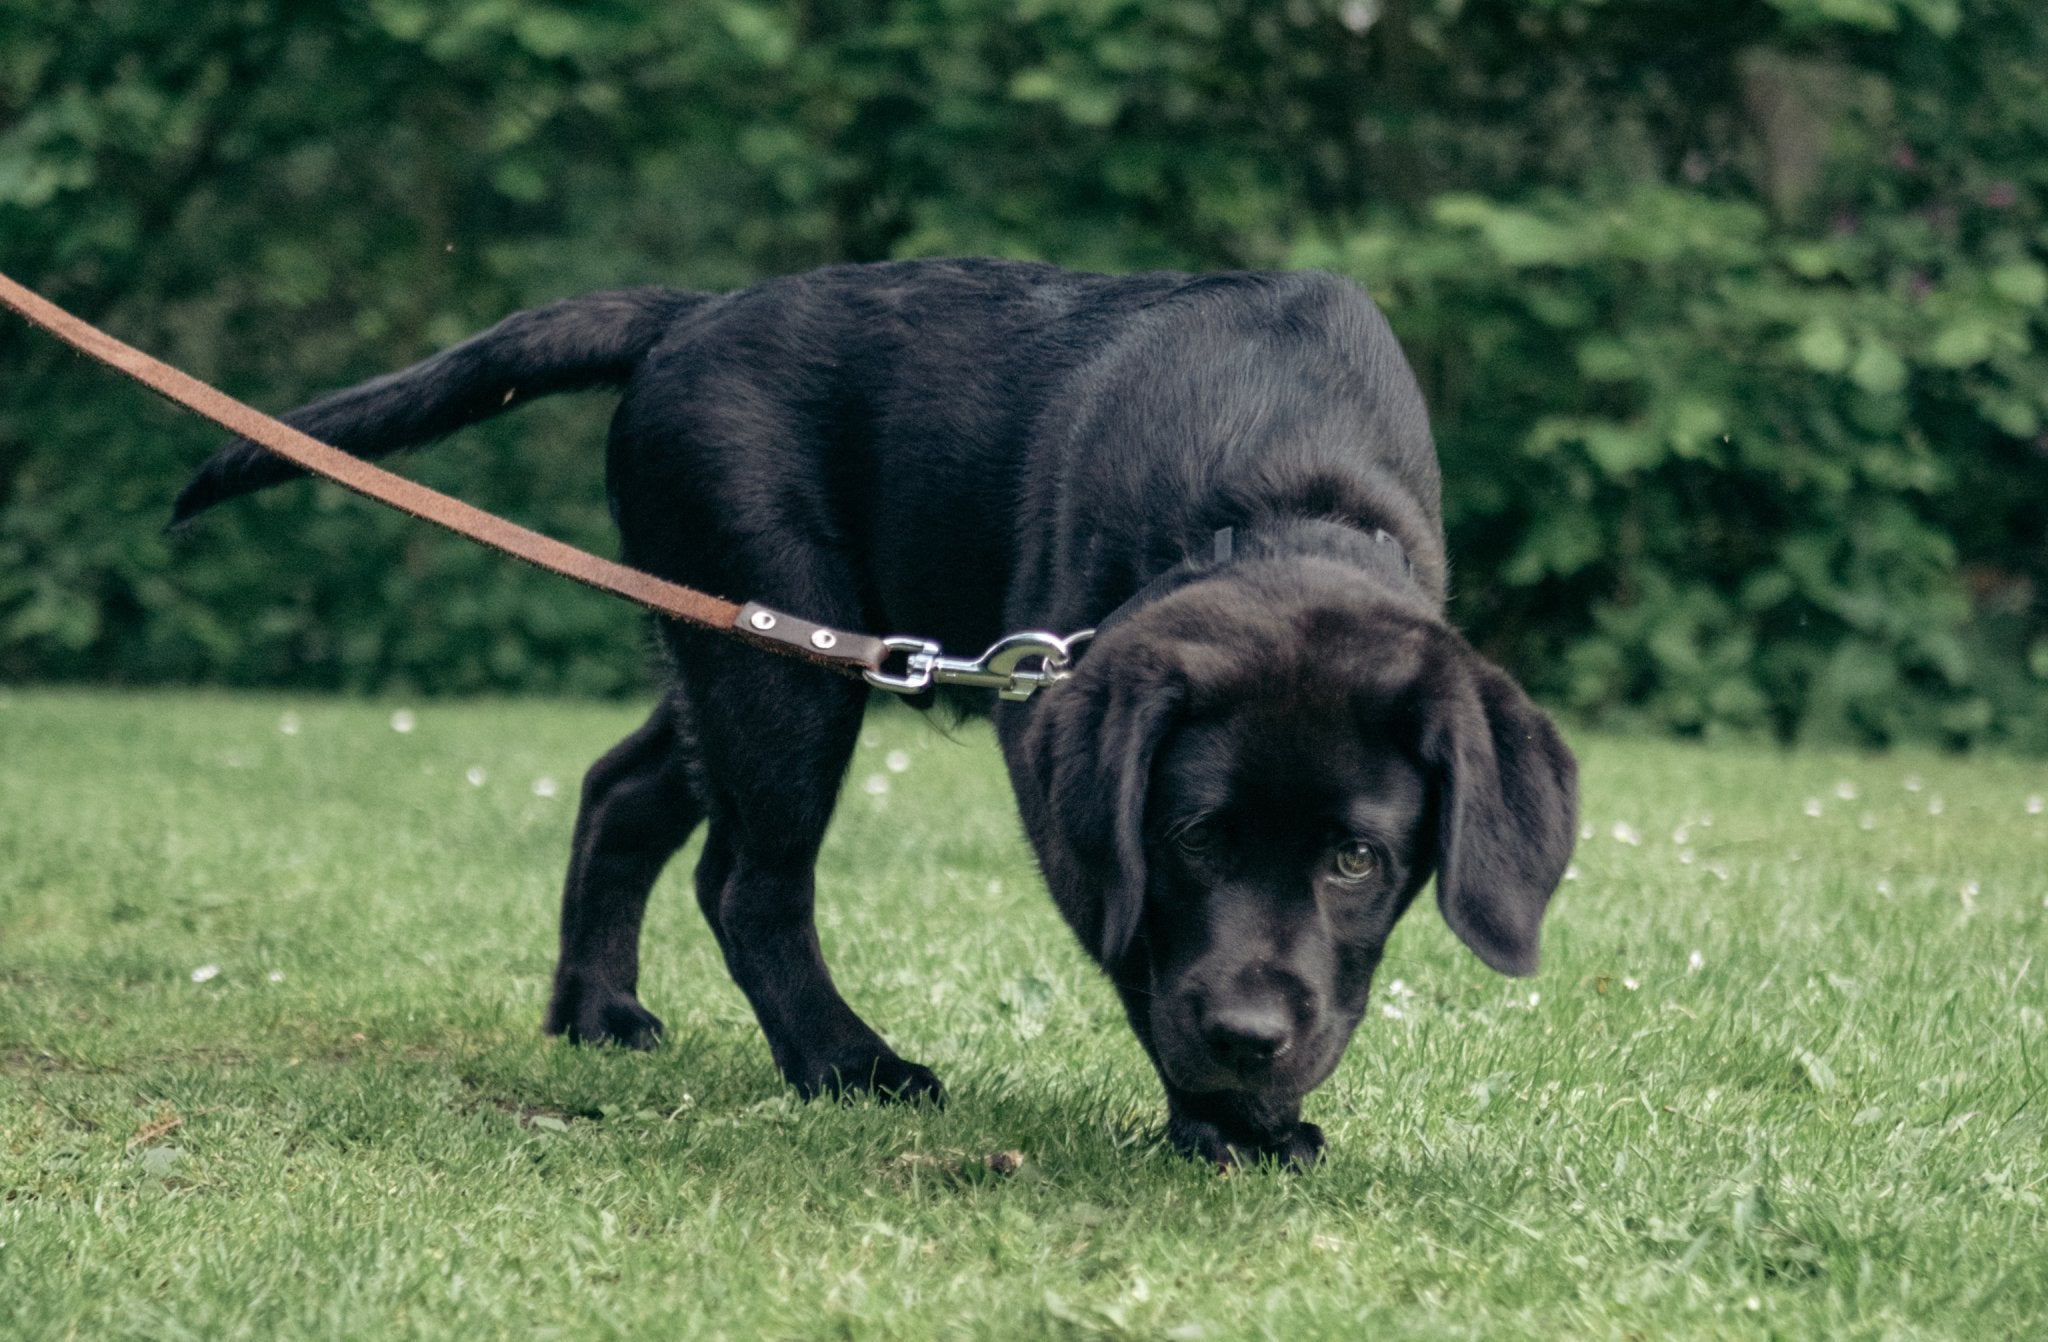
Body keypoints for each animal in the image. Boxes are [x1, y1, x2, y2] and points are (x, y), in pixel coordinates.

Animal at [180, 260, 1581, 1163]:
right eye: (1192, 838)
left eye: (1357, 859)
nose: (1245, 1040)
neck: (1274, 486)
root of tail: (694, 312)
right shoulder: (1054, 745)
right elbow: (1139, 939)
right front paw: (1229, 1123)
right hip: (779, 654)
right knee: (746, 884)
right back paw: (846, 1064)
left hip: (732, 644)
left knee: (621, 791)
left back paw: (596, 1013)